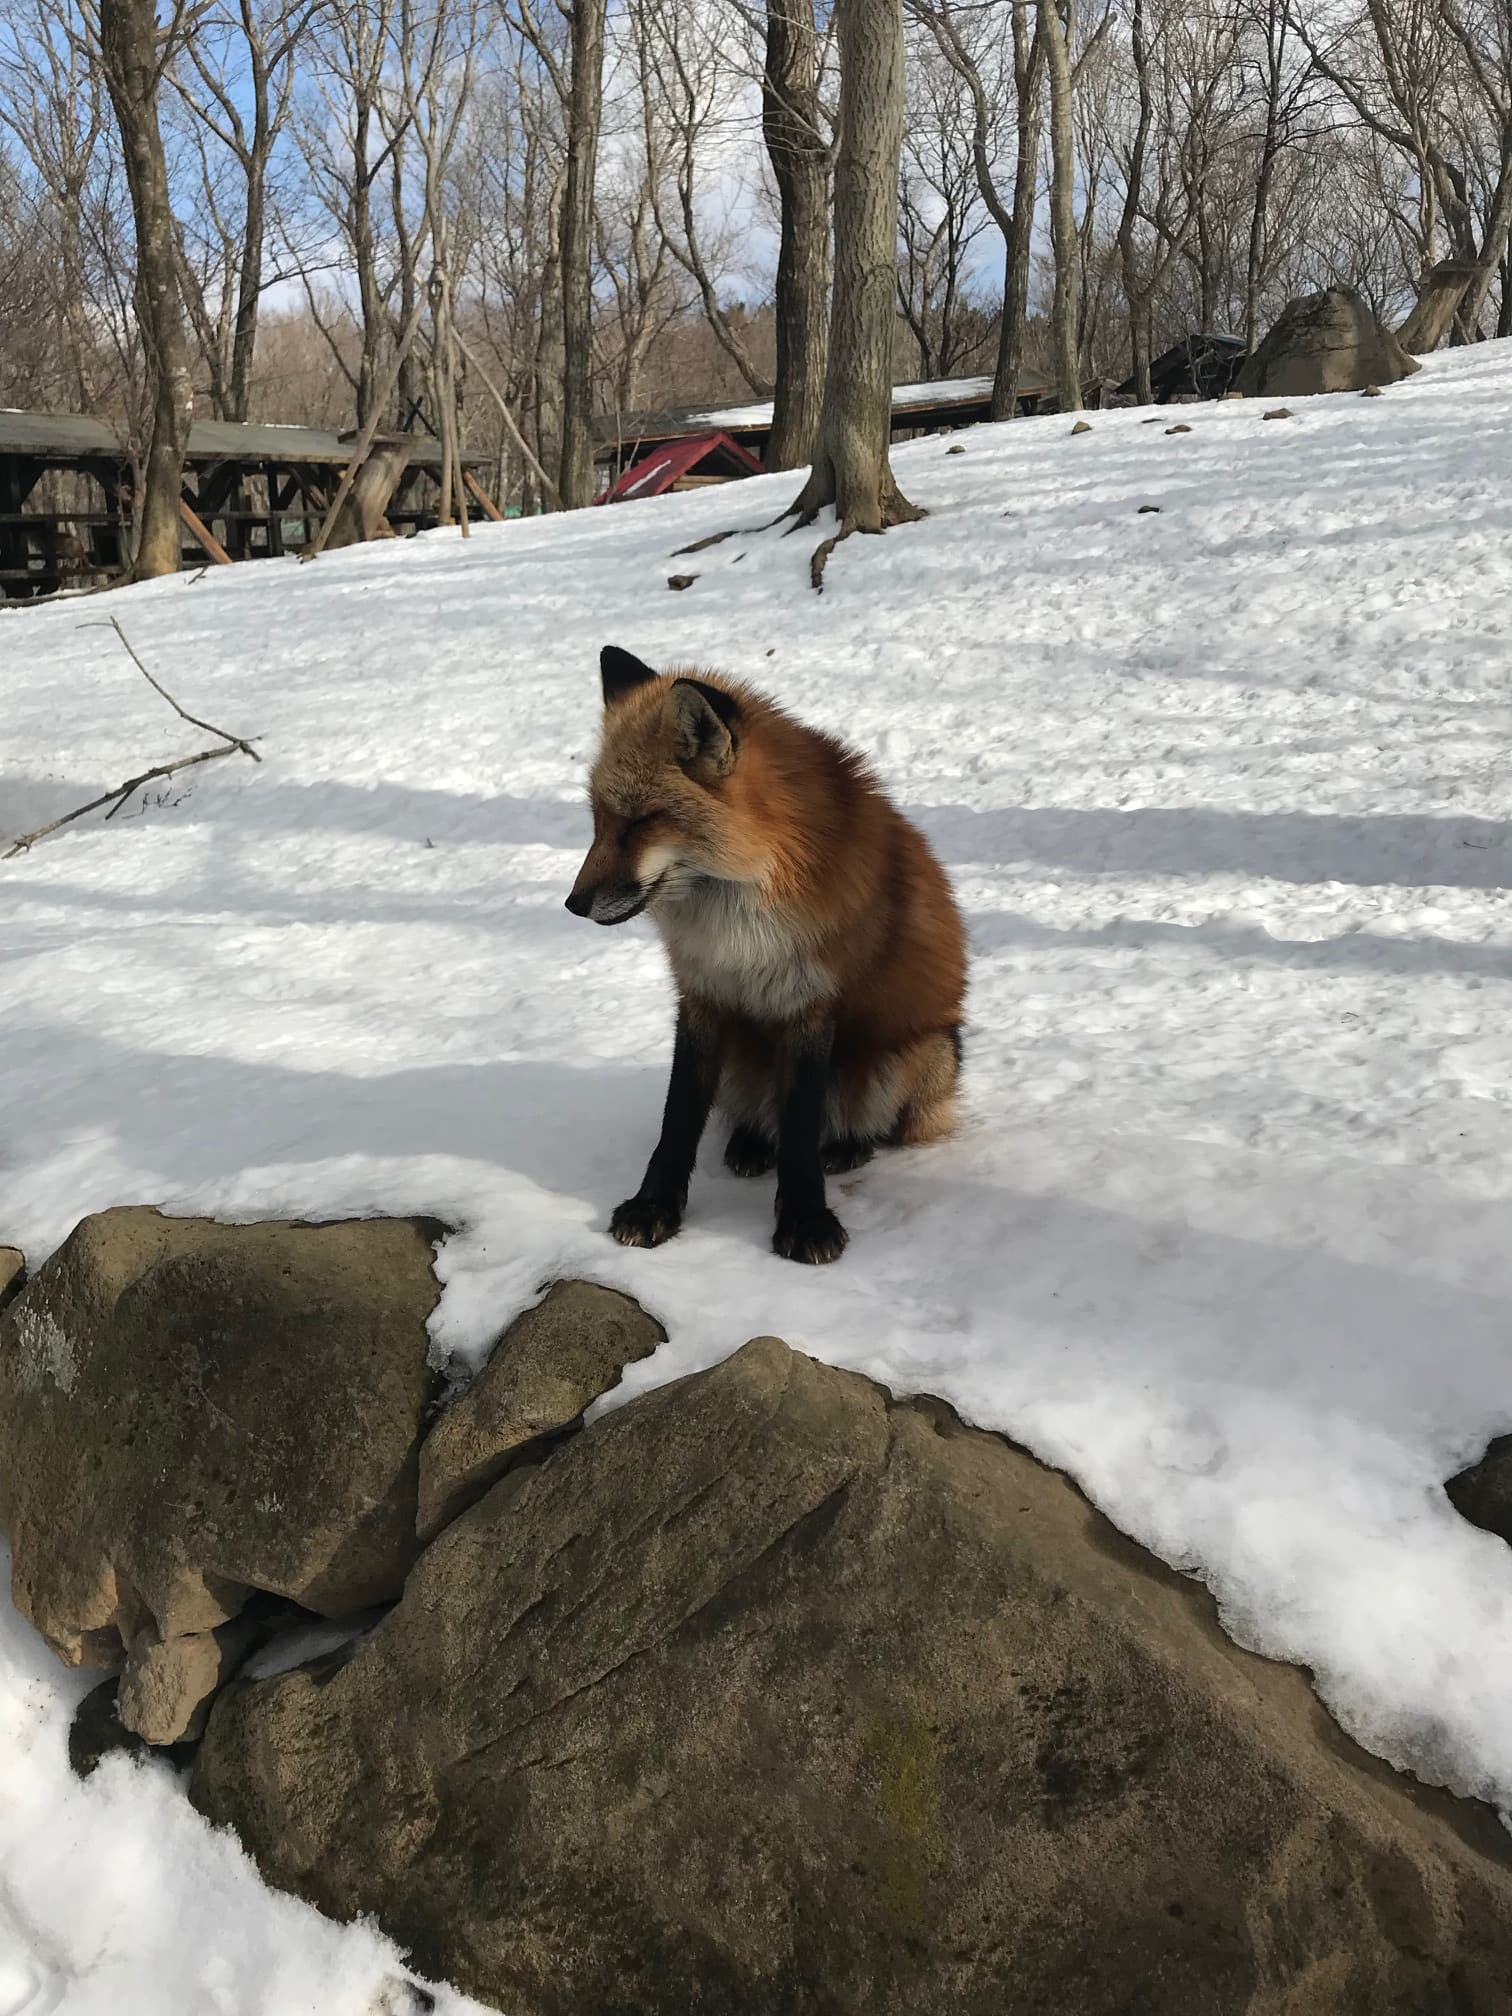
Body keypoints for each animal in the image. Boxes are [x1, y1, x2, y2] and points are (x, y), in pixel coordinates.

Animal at [565, 645, 968, 1265]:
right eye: (599, 822)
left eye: (639, 822)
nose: (573, 904)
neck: (737, 928)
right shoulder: (702, 997)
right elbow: (678, 1119)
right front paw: (654, 1207)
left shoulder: (810, 1006)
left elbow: (800, 1129)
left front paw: (804, 1221)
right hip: (742, 1058)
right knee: (757, 1115)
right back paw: (751, 1142)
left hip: (916, 1054)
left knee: (859, 1127)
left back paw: (846, 1147)